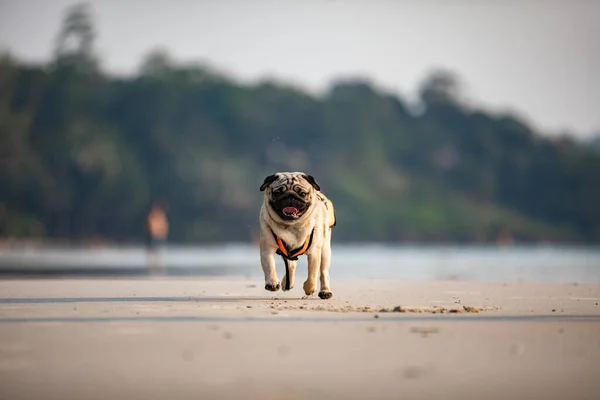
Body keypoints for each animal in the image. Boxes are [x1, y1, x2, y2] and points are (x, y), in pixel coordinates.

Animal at [258, 172, 336, 300]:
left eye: (302, 194)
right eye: (277, 193)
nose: (290, 196)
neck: (292, 226)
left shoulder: (314, 252)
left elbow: (312, 275)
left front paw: (309, 288)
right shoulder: (267, 249)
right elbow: (270, 266)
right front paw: (272, 283)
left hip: (325, 251)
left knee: (323, 272)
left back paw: (325, 291)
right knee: (291, 265)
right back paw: (287, 282)